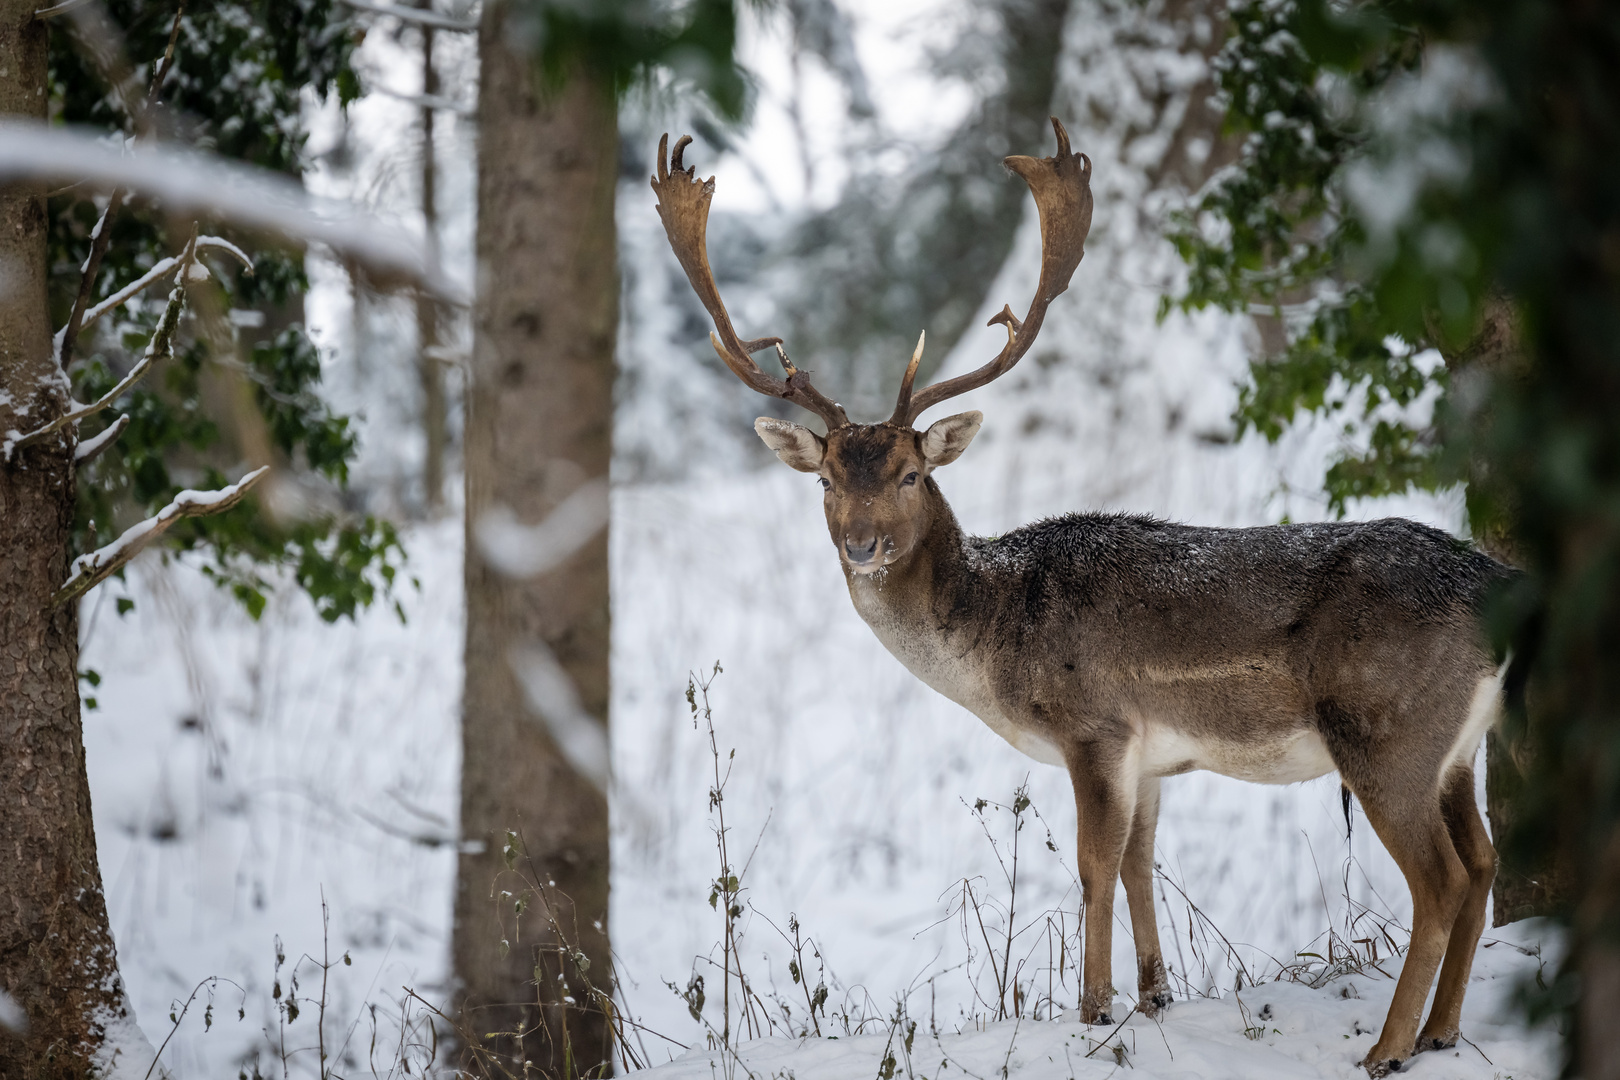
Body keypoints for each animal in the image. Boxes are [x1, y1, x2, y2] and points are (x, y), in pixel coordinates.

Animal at [651, 120, 1509, 1080]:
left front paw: (1092, 1011)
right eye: (829, 479)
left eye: (911, 473)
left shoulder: (1094, 724)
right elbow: (1140, 866)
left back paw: (1389, 1048)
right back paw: (1440, 1032)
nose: (862, 545)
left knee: (1440, 879)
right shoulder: (1154, 757)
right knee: (1483, 865)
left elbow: (1095, 868)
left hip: (1385, 728)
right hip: (1456, 743)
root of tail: (1498, 582)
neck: (996, 637)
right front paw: (1155, 996)